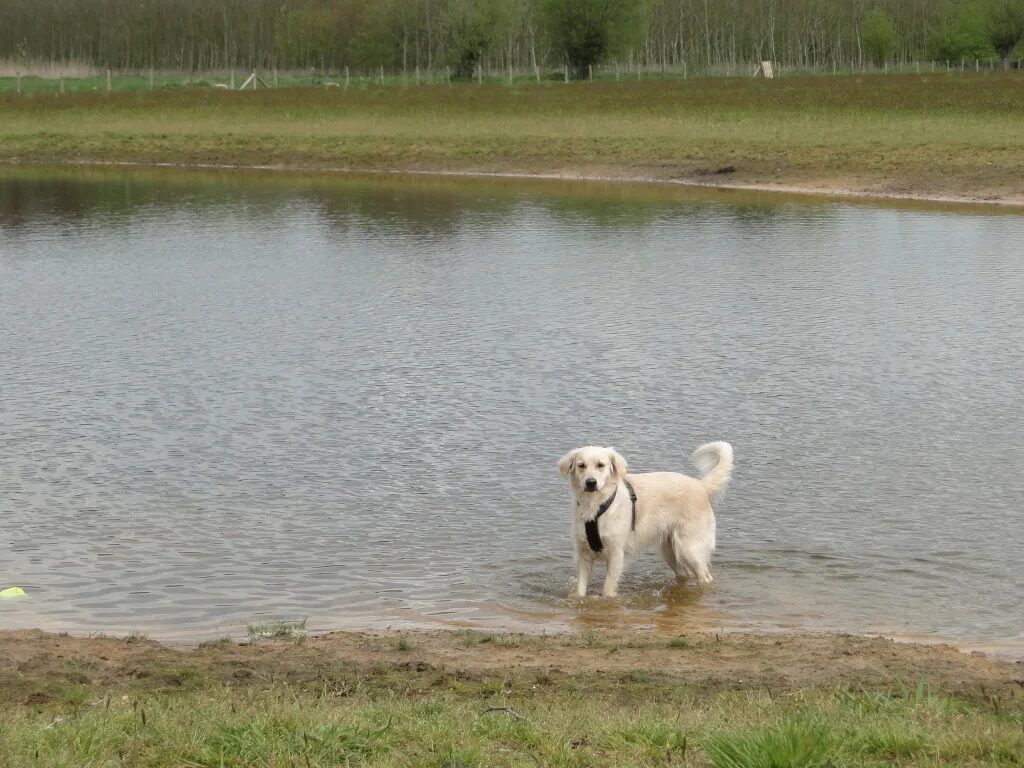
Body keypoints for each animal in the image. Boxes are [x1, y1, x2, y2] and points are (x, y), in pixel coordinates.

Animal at [557, 442, 733, 598]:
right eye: (581, 465)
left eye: (601, 465)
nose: (591, 482)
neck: (596, 506)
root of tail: (700, 485)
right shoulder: (583, 554)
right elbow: (580, 590)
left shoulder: (616, 554)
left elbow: (607, 590)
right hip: (669, 550)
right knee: (685, 573)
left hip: (689, 548)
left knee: (705, 577)